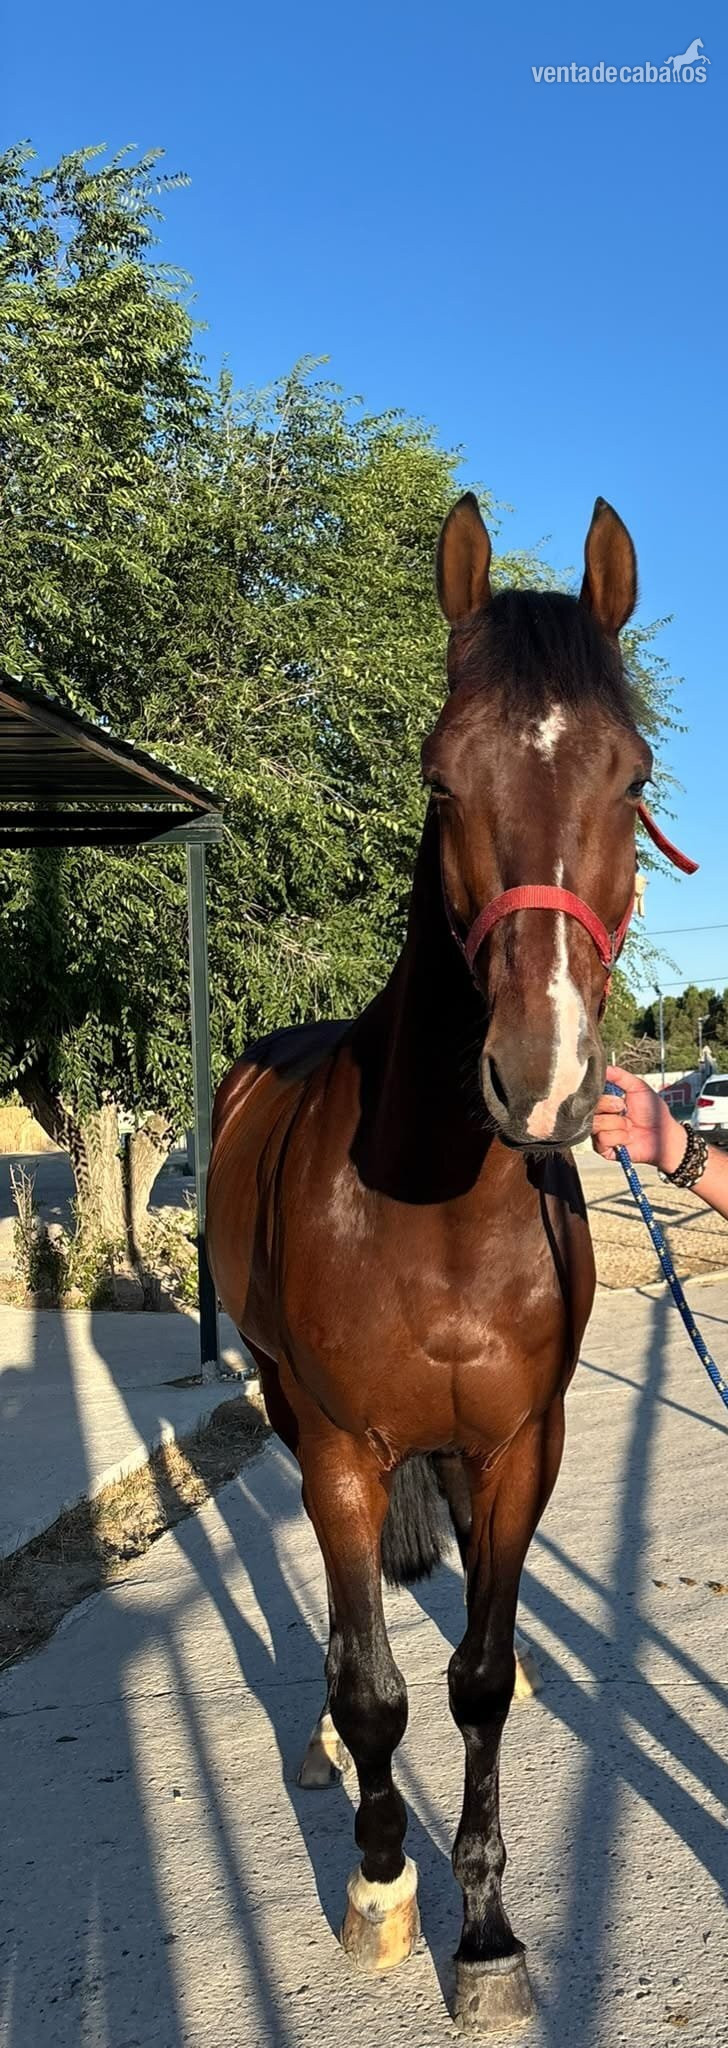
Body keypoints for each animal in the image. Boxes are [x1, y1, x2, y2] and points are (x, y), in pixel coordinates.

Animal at [206, 491, 653, 2031]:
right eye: (438, 775)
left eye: (633, 772)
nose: (544, 1077)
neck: (437, 1215)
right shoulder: (345, 1446)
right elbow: (376, 1691)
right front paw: (381, 1884)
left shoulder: (521, 1447)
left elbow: (480, 1678)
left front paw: (490, 1933)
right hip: (291, 1411)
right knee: (346, 1650)